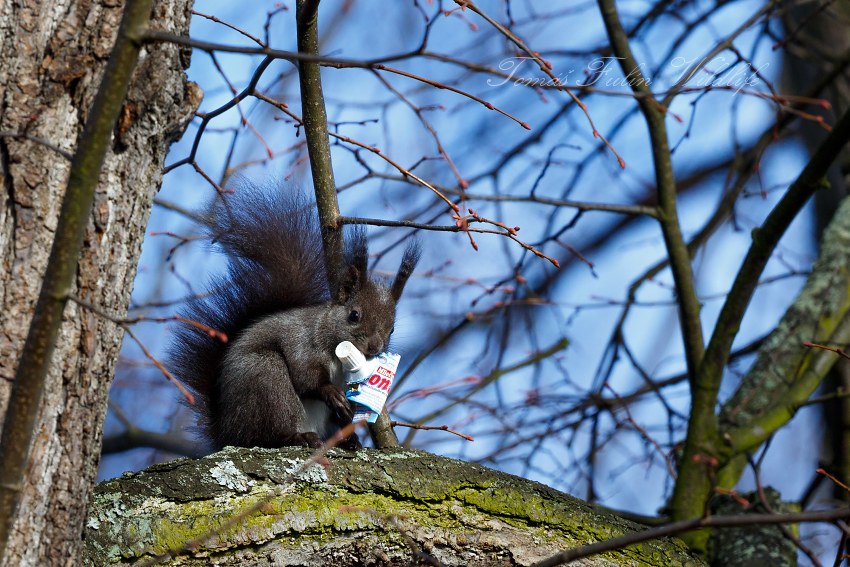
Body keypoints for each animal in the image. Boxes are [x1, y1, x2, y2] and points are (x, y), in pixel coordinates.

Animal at [167, 186, 420, 452]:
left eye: (392, 329)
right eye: (354, 315)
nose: (375, 347)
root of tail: (226, 431)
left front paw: (351, 419)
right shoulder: (303, 342)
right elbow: (306, 375)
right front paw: (330, 392)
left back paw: (346, 440)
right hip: (266, 379)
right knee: (265, 433)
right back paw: (297, 437)